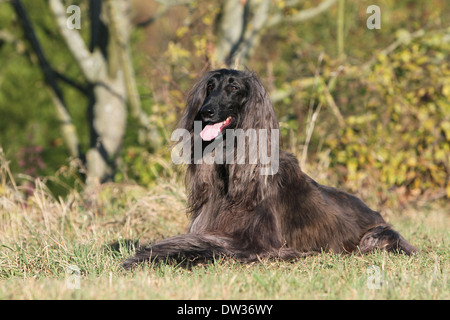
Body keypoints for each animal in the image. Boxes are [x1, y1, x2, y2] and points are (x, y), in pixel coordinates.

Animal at [121, 69, 416, 268]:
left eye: (233, 88)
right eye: (210, 87)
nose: (206, 112)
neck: (231, 174)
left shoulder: (259, 245)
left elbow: (200, 247)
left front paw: (143, 256)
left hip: (378, 235)